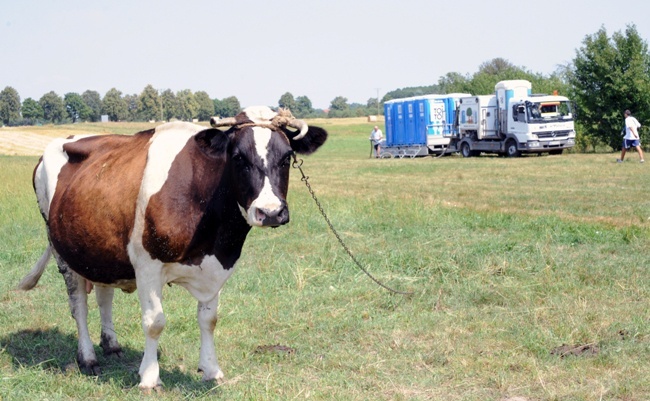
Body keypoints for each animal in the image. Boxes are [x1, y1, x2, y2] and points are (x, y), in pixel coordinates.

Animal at [17, 105, 326, 388]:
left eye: (287, 158)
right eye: (238, 157)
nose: (271, 212)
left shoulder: (216, 266)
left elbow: (209, 319)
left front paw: (211, 369)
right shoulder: (147, 265)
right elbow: (154, 323)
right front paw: (150, 377)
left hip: (99, 248)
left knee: (105, 296)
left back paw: (112, 345)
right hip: (62, 251)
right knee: (78, 306)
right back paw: (88, 358)